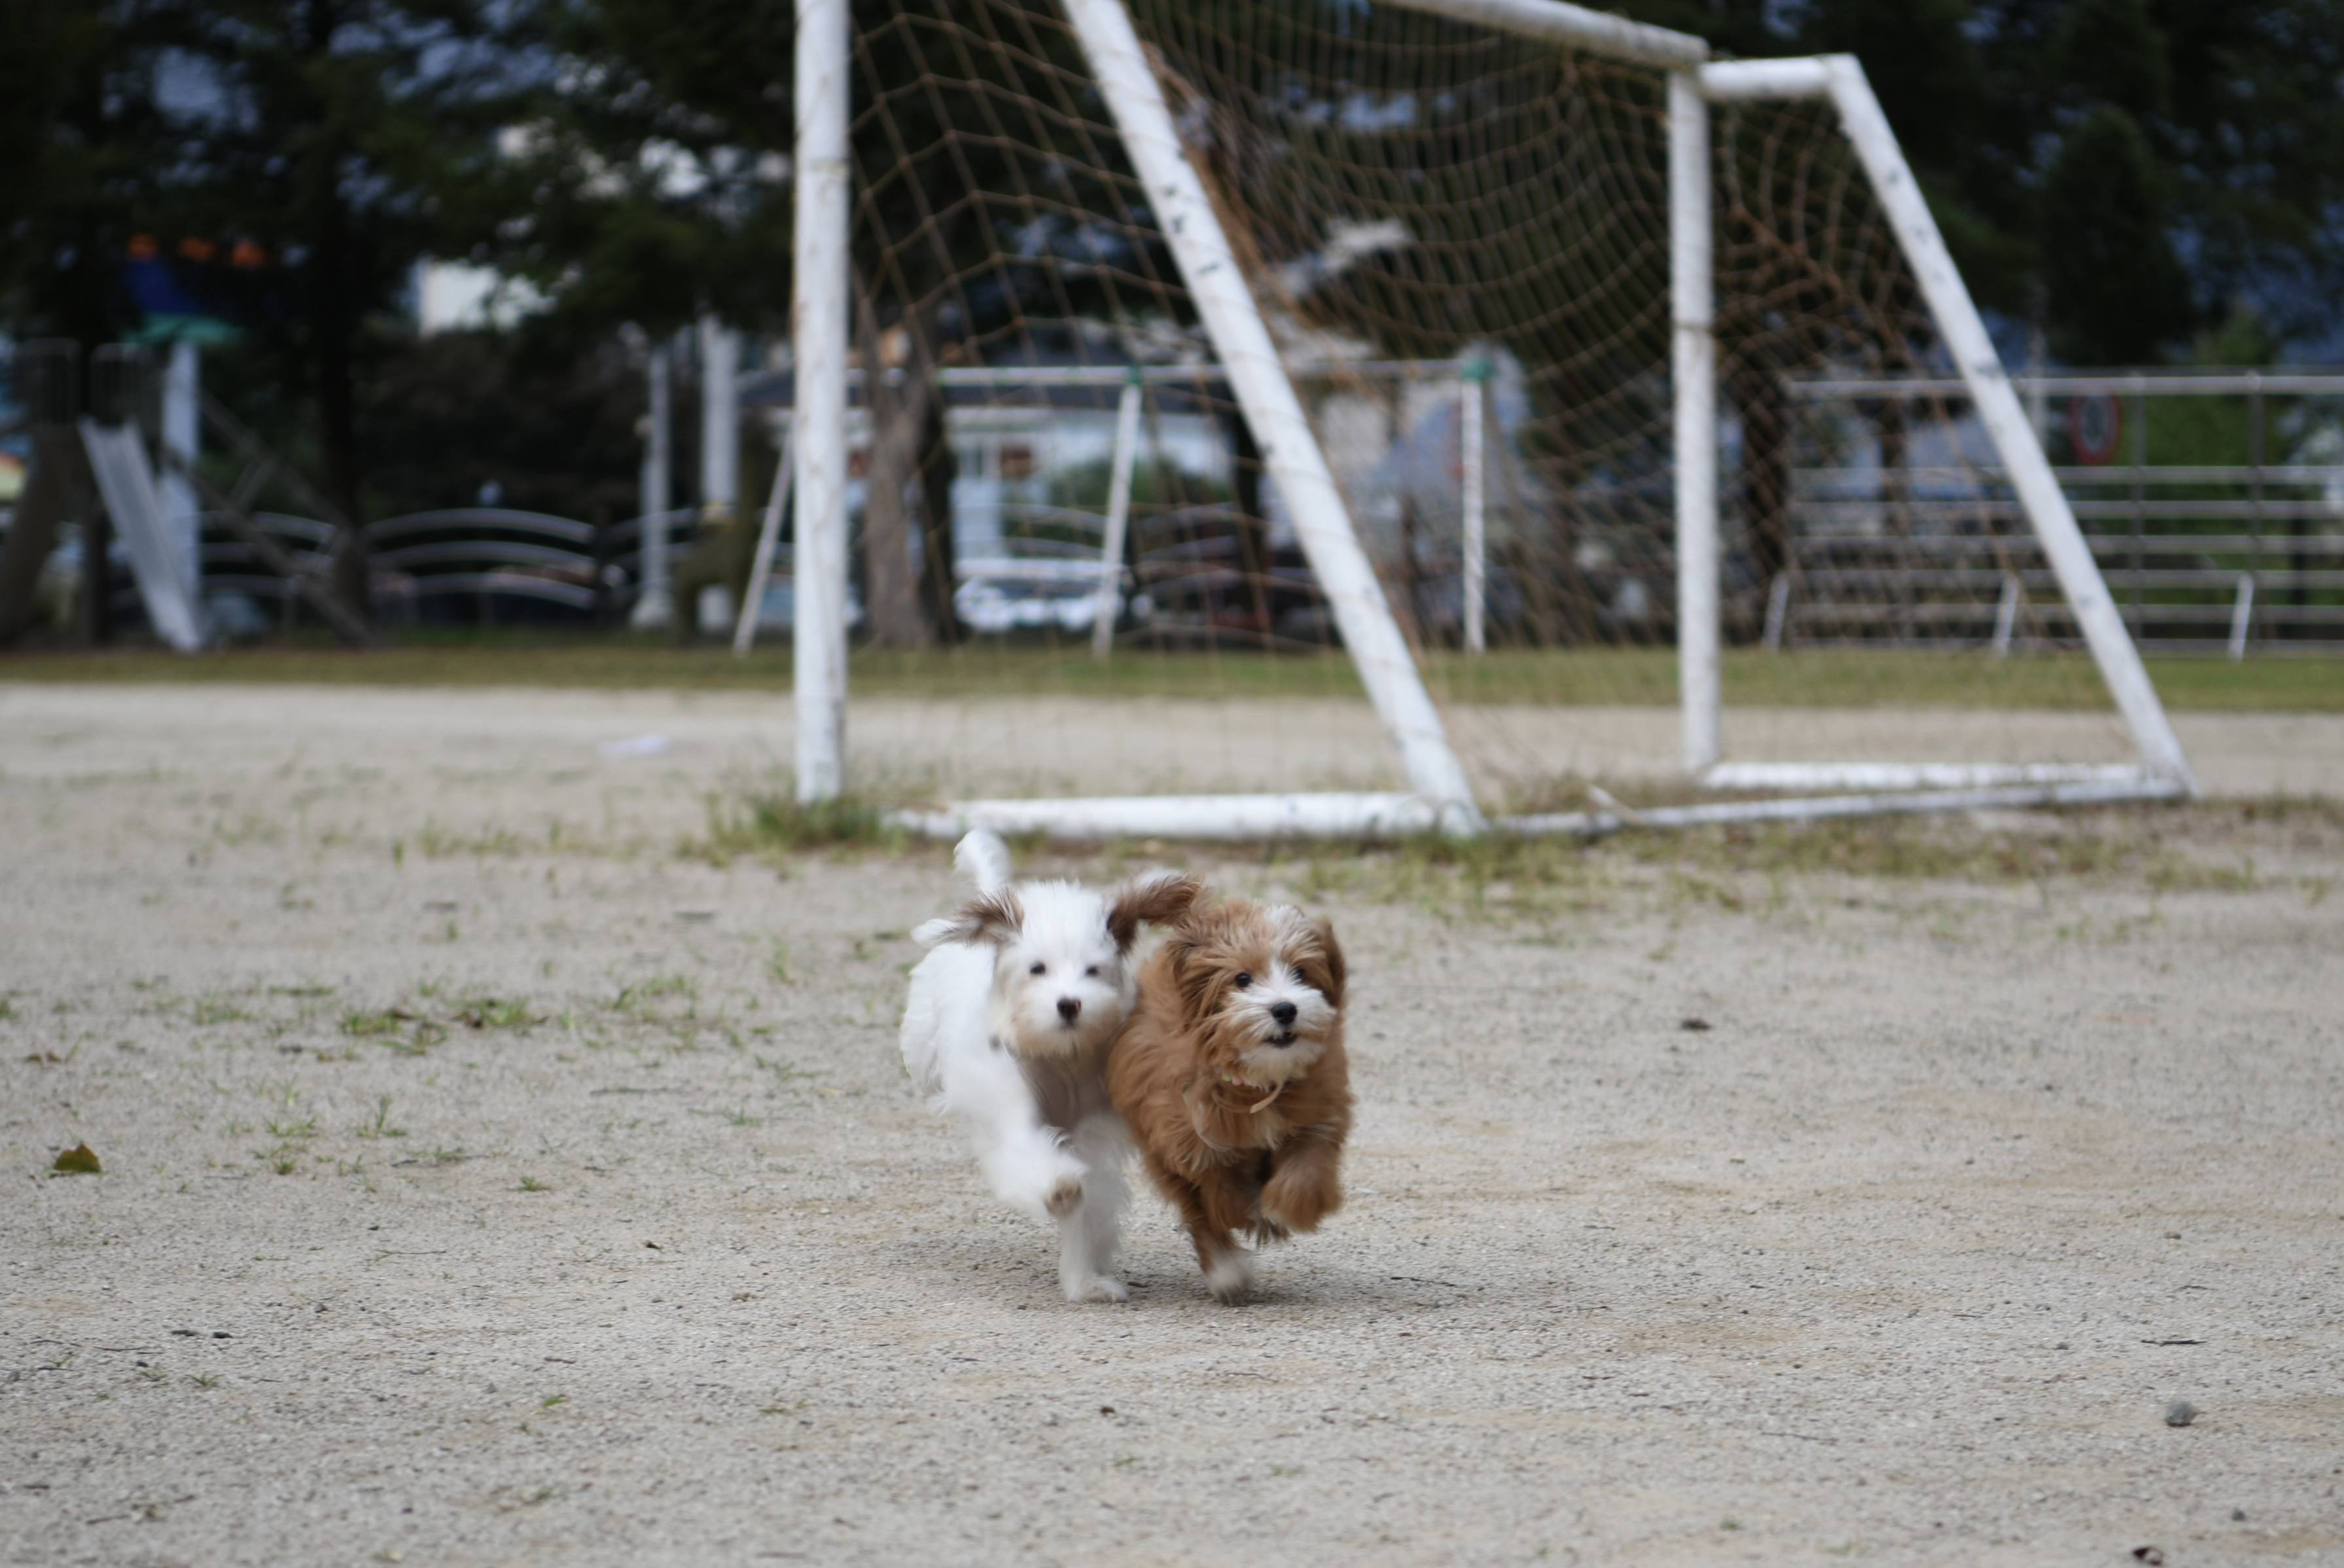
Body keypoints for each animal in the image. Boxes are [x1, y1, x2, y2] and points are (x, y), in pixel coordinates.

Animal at [891, 825, 1190, 1303]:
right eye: (1038, 969)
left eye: (1093, 970)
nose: (1069, 1004)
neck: (1062, 1057)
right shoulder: (1012, 1109)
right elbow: (1030, 1154)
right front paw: (1057, 1187)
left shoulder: (1092, 1131)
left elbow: (1091, 1205)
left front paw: (1085, 1281)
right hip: (922, 1039)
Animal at [1110, 900, 1359, 1303]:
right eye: (1243, 979)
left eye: (1301, 972)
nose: (1285, 1009)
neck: (1256, 1082)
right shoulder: (1190, 1140)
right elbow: (1218, 1194)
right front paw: (1254, 1217)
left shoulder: (1316, 1117)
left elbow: (1304, 1173)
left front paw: (1281, 1209)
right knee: (1196, 1209)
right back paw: (1226, 1271)